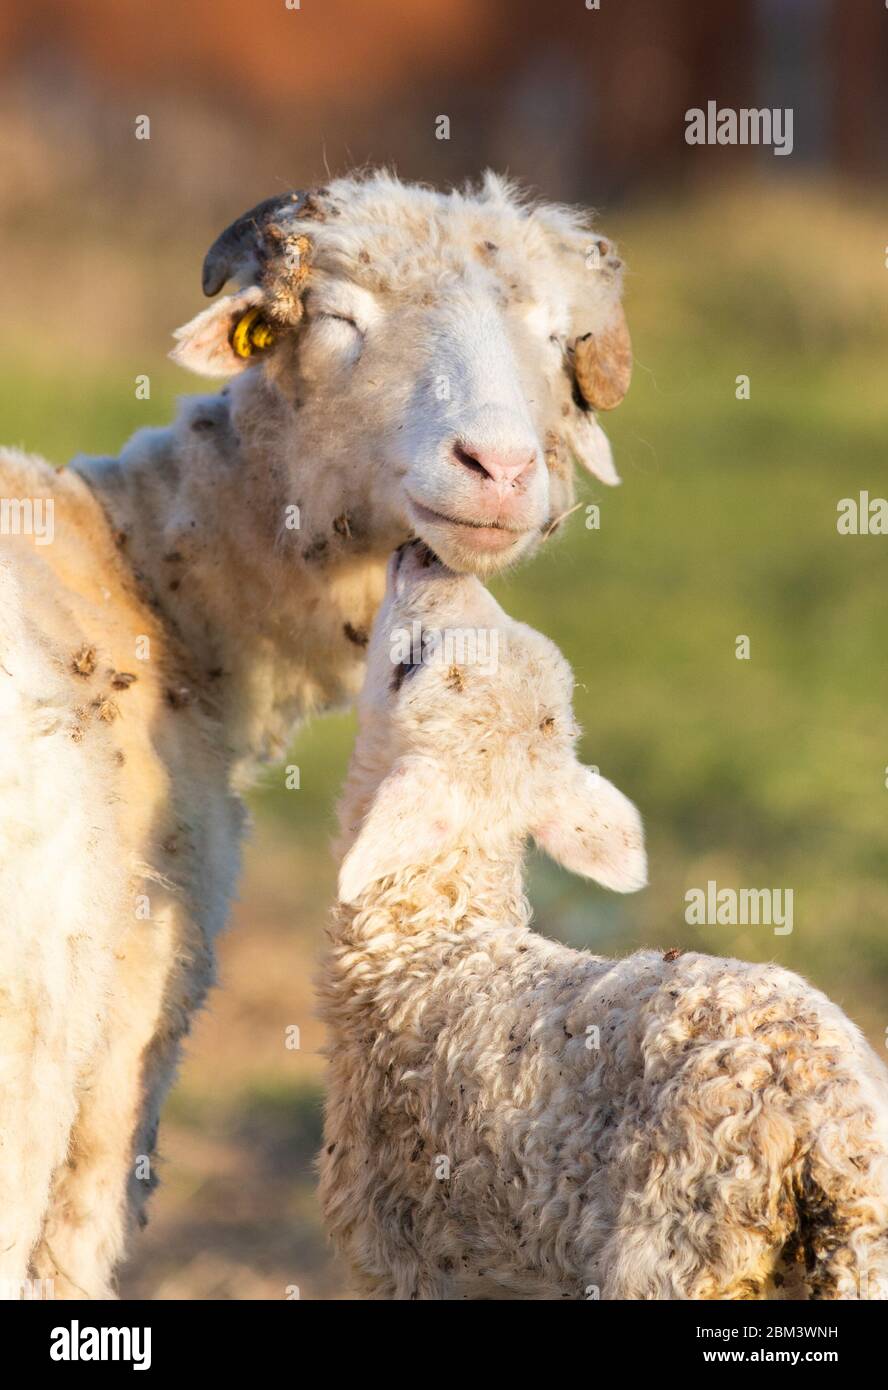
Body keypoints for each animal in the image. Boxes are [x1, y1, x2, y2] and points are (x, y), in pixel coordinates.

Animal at [319, 536, 888, 1295]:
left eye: (409, 661)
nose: (425, 554)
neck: (432, 939)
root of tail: (825, 1125)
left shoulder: (405, 1248)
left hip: (675, 1237)